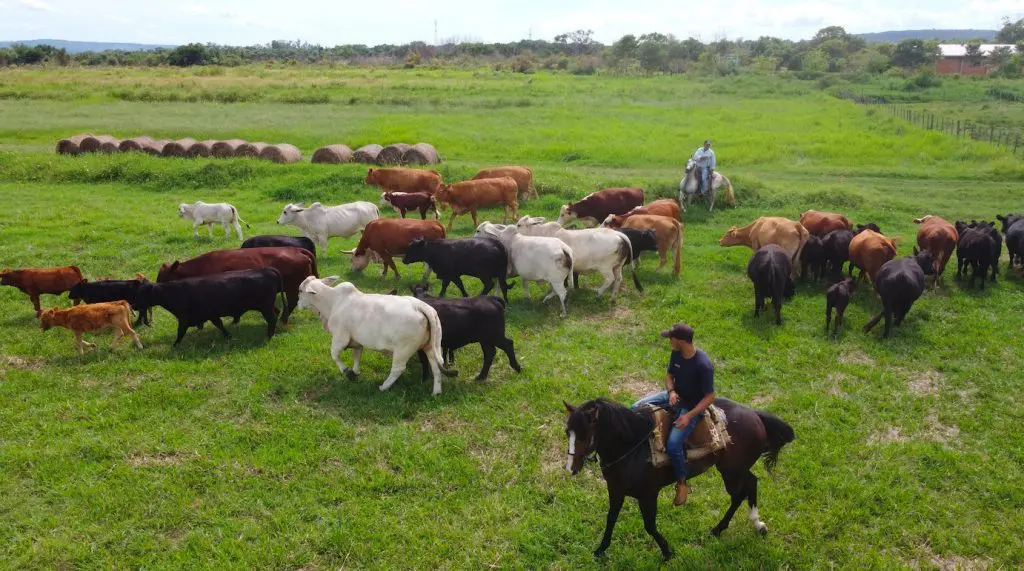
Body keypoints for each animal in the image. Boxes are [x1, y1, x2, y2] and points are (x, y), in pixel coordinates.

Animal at [138, 268, 285, 345]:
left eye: (141, 293)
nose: (135, 305)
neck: (175, 292)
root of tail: (267, 269)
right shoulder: (210, 315)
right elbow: (219, 324)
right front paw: (228, 336)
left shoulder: (184, 318)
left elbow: (180, 332)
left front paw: (175, 345)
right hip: (269, 305)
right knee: (277, 312)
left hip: (265, 307)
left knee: (272, 318)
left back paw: (269, 335)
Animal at [157, 247, 316, 323]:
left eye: (162, 279)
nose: (156, 289)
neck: (203, 265)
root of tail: (296, 250)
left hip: (292, 287)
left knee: (292, 302)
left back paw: (283, 319)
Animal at [297, 277, 450, 395]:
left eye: (300, 291)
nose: (298, 304)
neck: (332, 302)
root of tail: (420, 306)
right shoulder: (357, 342)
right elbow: (356, 356)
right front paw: (356, 372)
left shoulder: (340, 337)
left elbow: (334, 355)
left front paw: (348, 373)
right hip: (431, 346)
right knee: (436, 366)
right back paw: (436, 392)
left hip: (403, 349)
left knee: (398, 369)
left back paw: (384, 386)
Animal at [563, 397, 794, 561]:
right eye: (568, 432)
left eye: (584, 435)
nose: (570, 468)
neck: (632, 446)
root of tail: (755, 414)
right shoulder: (616, 490)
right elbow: (610, 519)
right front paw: (600, 550)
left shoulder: (648, 496)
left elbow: (649, 526)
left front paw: (667, 552)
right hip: (733, 470)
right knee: (748, 486)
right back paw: (736, 527)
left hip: (731, 471)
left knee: (743, 491)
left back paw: (738, 526)